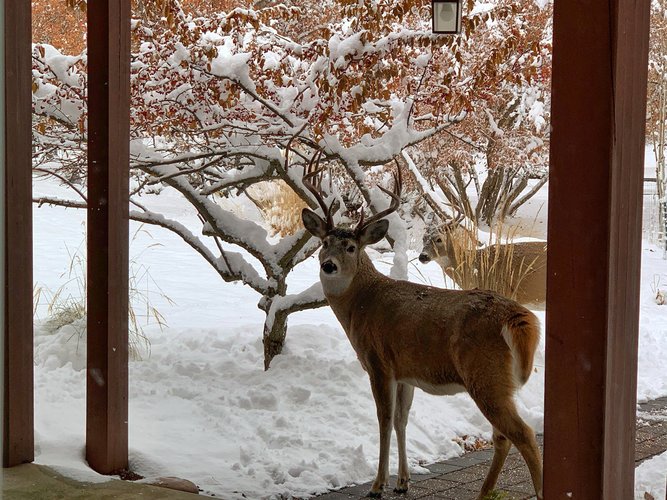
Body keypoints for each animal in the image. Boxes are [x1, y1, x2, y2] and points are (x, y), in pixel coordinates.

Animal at [302, 167, 544, 500]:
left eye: (350, 248)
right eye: (324, 242)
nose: (328, 265)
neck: (361, 303)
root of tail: (518, 316)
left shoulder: (378, 363)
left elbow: (384, 420)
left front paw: (378, 485)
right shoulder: (405, 371)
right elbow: (402, 420)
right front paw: (403, 482)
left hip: (485, 375)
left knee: (524, 434)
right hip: (496, 381)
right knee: (503, 436)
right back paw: (484, 492)